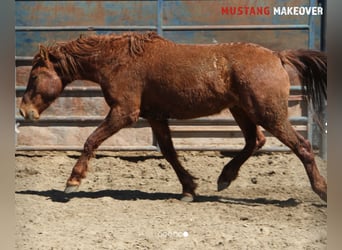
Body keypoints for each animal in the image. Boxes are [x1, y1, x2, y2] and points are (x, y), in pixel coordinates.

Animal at [19, 31, 328, 203]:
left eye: (34, 77)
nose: (24, 111)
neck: (118, 60)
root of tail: (277, 56)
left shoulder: (124, 112)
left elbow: (91, 141)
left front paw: (72, 181)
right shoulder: (155, 116)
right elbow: (169, 152)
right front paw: (189, 189)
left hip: (268, 113)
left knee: (301, 146)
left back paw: (322, 190)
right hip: (242, 110)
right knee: (255, 141)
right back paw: (224, 177)